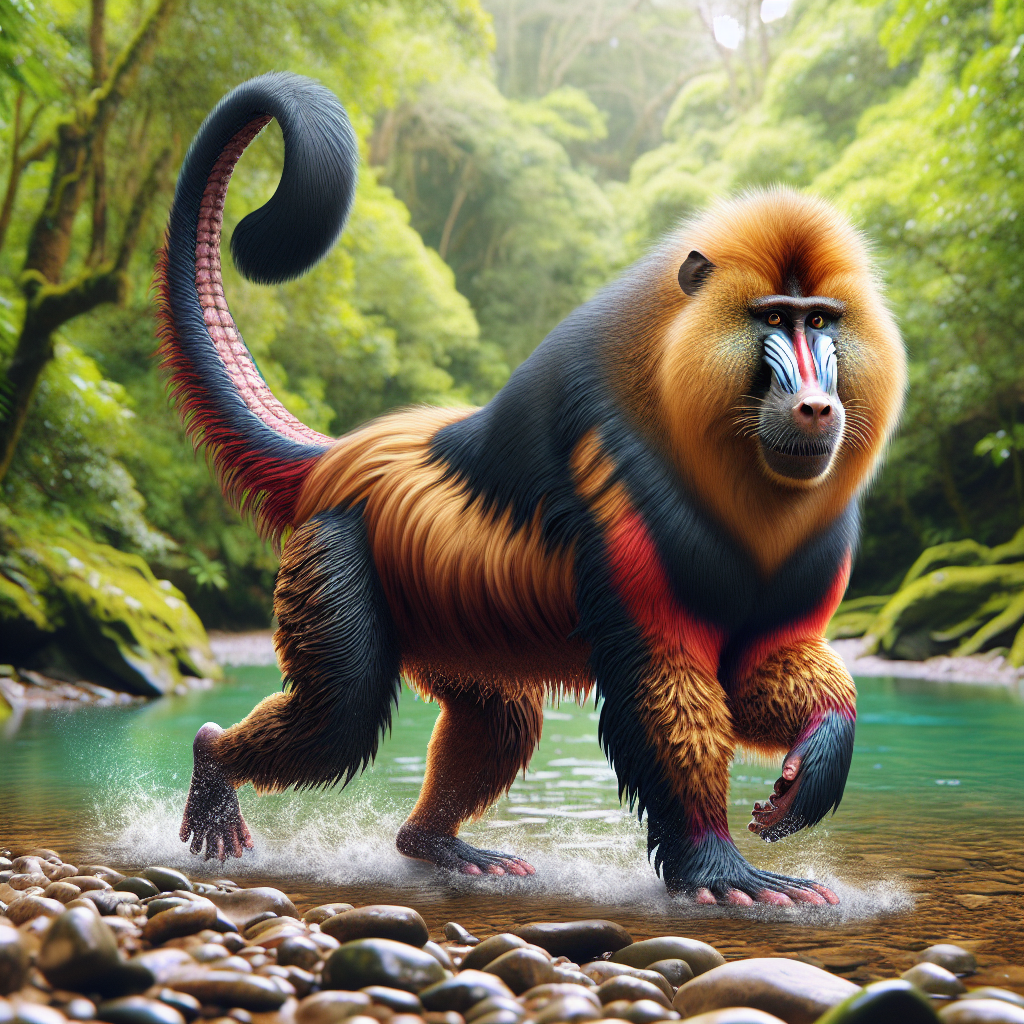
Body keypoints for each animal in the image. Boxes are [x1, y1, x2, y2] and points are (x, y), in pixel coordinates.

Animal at [156, 73, 905, 905]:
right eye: (773, 319)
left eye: (823, 324)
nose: (815, 404)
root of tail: (338, 456)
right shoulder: (625, 496)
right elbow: (664, 685)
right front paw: (718, 869)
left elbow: (762, 669)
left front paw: (815, 766)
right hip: (334, 551)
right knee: (337, 724)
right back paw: (212, 760)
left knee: (498, 721)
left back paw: (433, 843)